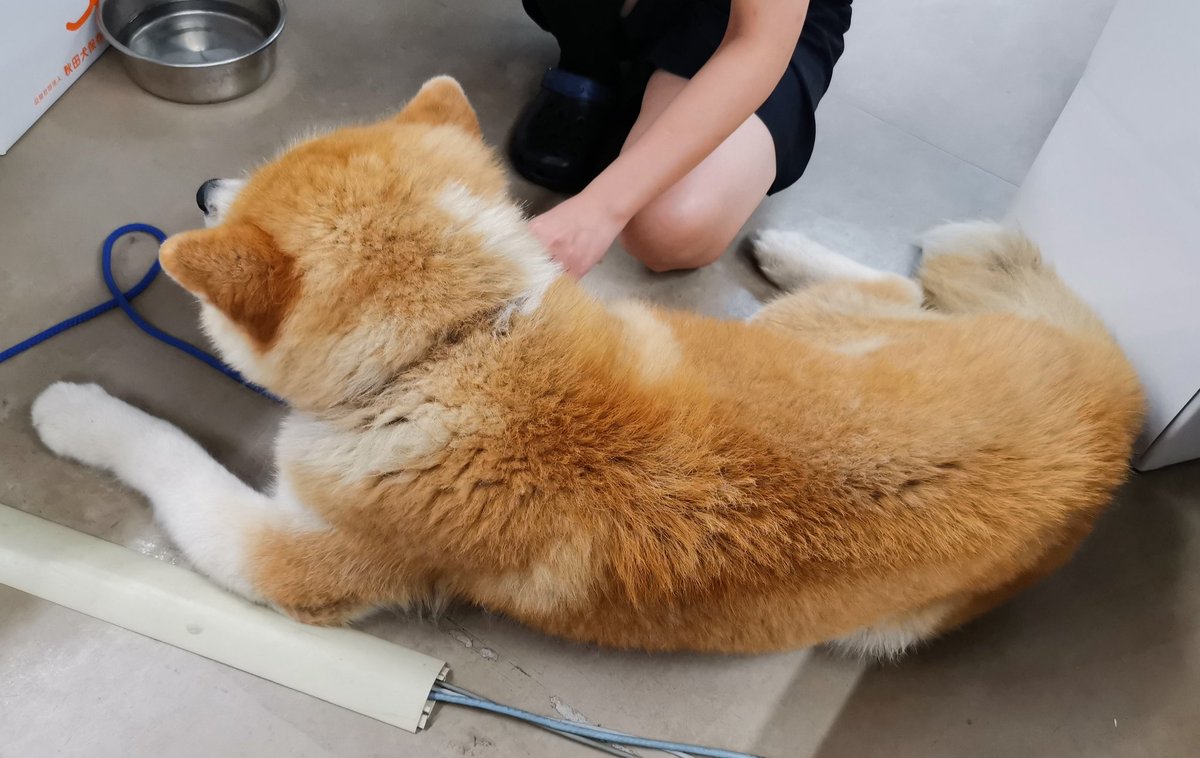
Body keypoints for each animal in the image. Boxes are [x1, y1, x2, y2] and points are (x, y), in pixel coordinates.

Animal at [30, 78, 1142, 657]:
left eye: (243, 195)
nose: (203, 189)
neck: (459, 347)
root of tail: (1109, 400)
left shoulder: (297, 558)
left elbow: (169, 455)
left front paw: (78, 412)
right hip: (814, 333)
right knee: (900, 291)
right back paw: (795, 250)